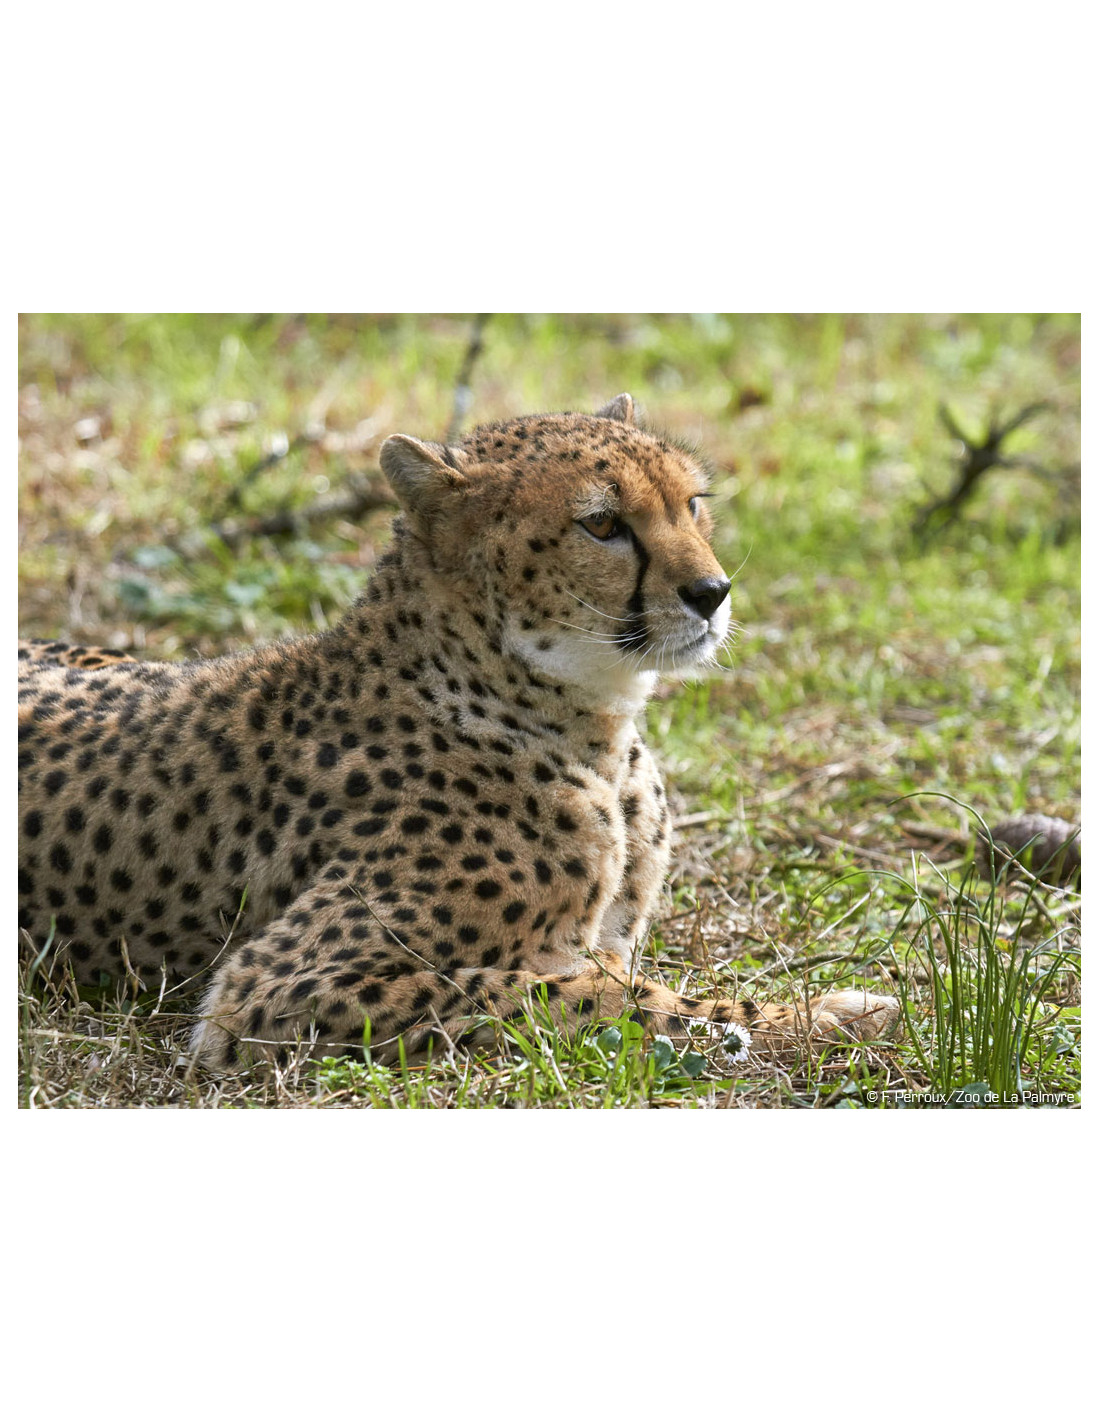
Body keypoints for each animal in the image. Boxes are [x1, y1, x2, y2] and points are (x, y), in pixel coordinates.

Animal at [18, 394, 899, 1071]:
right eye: (603, 525)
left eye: (692, 504)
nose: (711, 592)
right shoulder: (269, 991)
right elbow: (585, 993)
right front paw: (817, 1016)